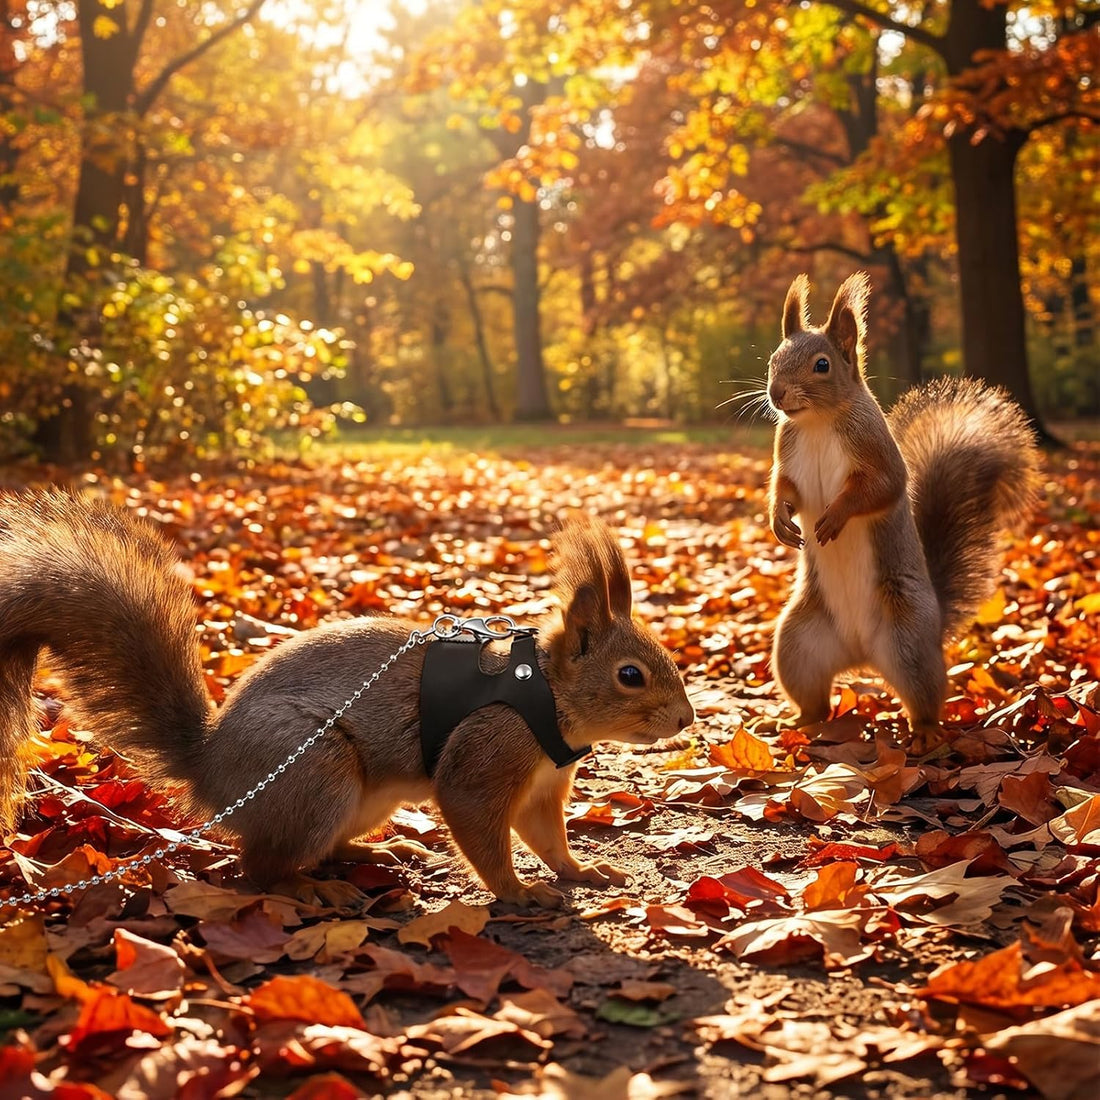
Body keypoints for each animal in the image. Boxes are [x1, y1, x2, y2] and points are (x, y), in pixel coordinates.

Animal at [0, 495, 694, 907]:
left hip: (359, 799)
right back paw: (313, 892)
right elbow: (479, 827)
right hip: (317, 771)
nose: (687, 719)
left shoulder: (544, 785)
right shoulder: (488, 751)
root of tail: (211, 771)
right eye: (631, 675)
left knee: (323, 848)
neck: (541, 694)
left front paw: (583, 873)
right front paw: (519, 893)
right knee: (261, 868)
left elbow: (547, 836)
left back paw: (382, 851)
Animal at [765, 272, 1040, 751]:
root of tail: (861, 653)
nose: (777, 394)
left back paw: (926, 732)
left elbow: (879, 490)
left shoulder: (878, 454)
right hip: (798, 646)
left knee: (924, 694)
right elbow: (784, 489)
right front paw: (780, 521)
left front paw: (834, 517)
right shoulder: (788, 453)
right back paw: (797, 723)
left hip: (907, 638)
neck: (817, 423)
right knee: (812, 696)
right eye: (773, 359)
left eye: (822, 365)